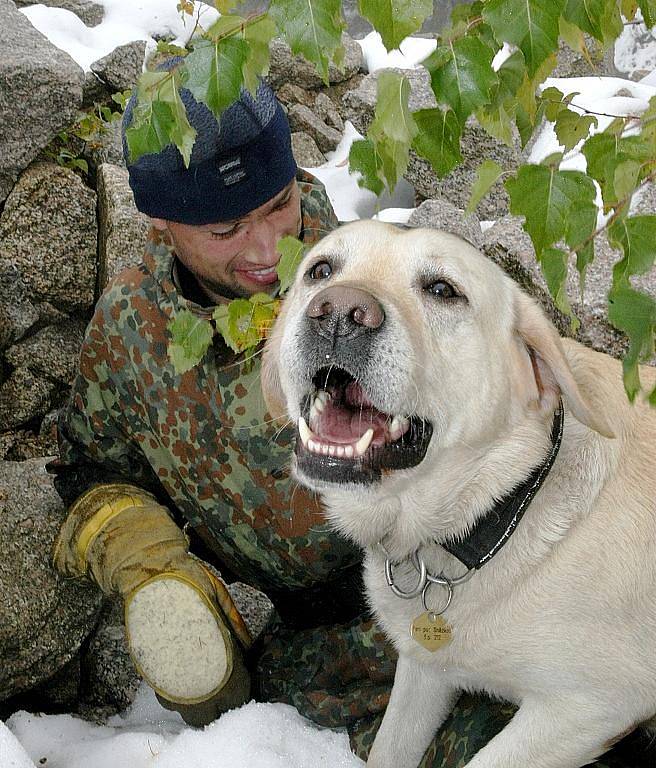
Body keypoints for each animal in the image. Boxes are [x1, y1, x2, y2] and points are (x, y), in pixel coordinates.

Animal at [262, 219, 656, 764]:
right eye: (320, 271)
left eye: (443, 290)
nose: (339, 312)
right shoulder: (426, 667)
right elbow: (390, 747)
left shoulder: (591, 706)